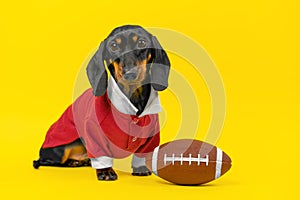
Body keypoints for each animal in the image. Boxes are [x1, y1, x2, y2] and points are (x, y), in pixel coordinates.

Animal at [33, 24, 170, 180]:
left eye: (142, 42)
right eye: (113, 45)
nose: (129, 74)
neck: (132, 97)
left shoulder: (151, 135)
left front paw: (140, 168)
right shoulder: (94, 131)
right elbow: (101, 154)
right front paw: (105, 171)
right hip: (61, 149)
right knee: (45, 160)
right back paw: (72, 162)